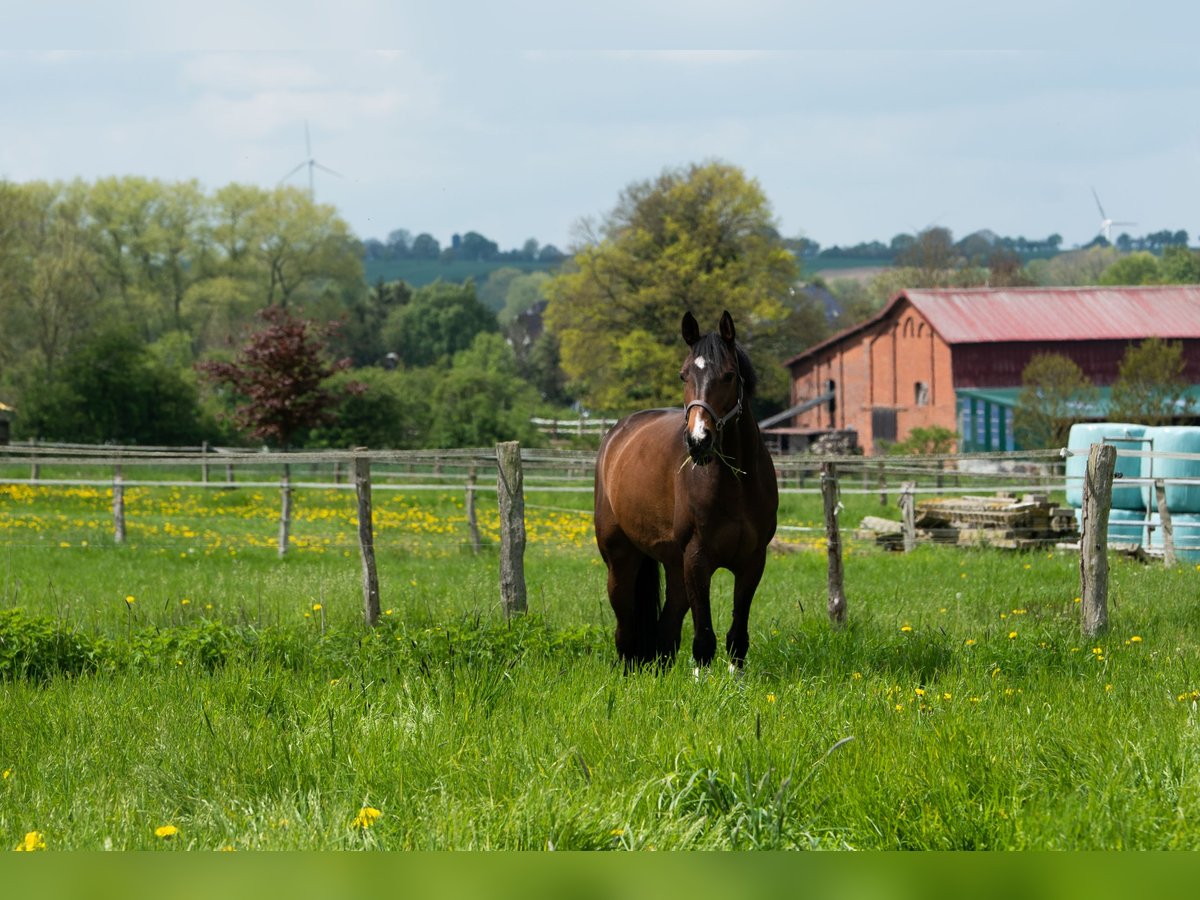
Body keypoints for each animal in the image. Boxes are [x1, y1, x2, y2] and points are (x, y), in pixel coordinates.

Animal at [590, 309, 777, 672]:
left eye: (729, 375)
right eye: (683, 376)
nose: (698, 440)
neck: (734, 484)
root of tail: (616, 435)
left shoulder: (752, 562)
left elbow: (737, 637)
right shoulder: (697, 559)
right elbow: (703, 639)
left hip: (675, 569)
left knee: (666, 629)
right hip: (621, 559)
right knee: (626, 626)